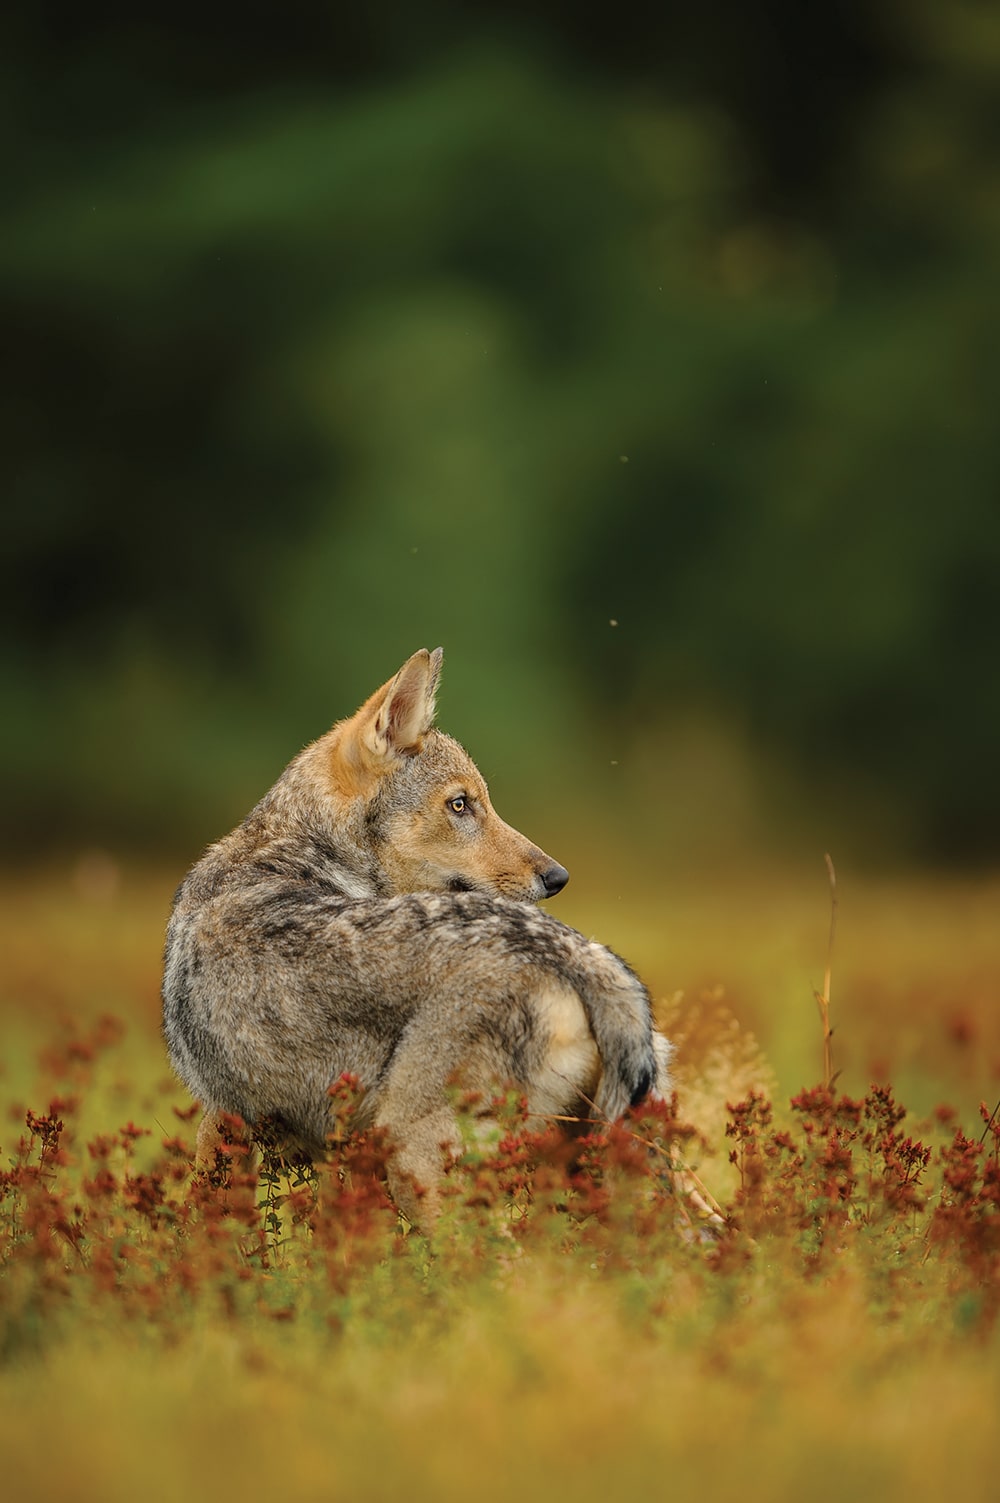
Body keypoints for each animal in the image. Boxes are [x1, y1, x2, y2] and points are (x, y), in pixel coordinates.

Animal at [162, 648, 672, 1227]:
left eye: (476, 802)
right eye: (461, 805)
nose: (558, 877)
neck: (294, 851)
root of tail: (574, 953)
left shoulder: (223, 1117)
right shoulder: (336, 1154)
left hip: (418, 1164)